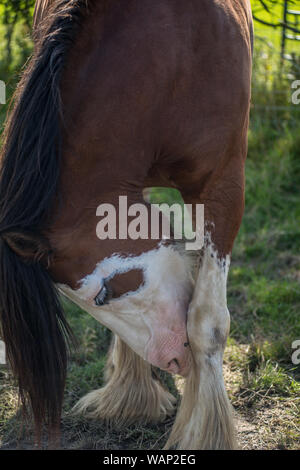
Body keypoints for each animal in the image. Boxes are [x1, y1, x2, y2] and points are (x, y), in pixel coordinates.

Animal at [0, 0, 253, 448]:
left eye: (104, 293)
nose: (171, 359)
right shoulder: (132, 181)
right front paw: (130, 397)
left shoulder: (223, 186)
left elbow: (207, 322)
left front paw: (202, 433)